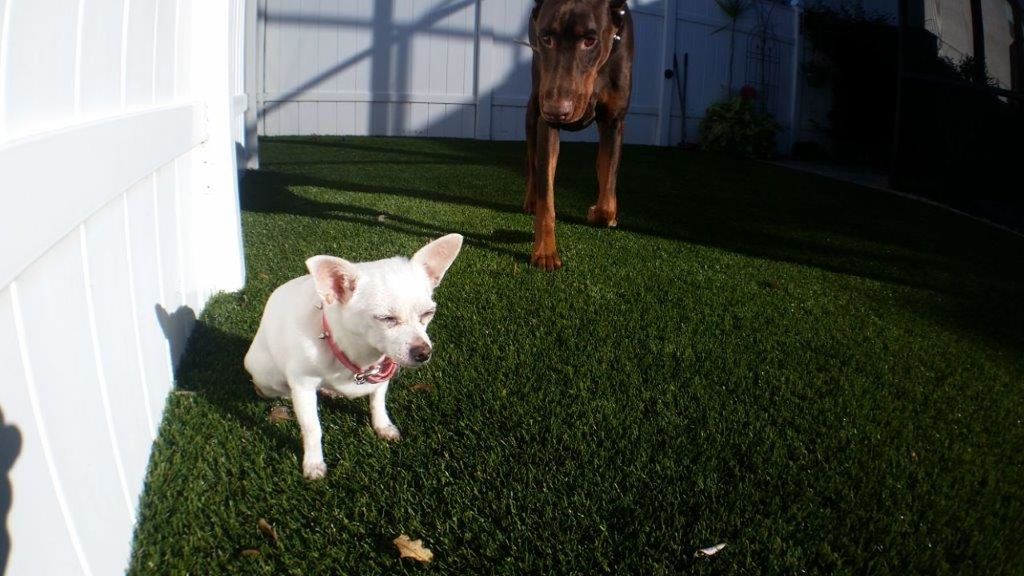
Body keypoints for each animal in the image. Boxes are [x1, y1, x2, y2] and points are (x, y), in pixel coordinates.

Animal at [243, 230, 460, 477]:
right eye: (386, 319)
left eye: (428, 314)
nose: (423, 352)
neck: (360, 354)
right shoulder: (303, 385)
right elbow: (312, 428)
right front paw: (314, 463)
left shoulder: (382, 373)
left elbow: (377, 401)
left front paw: (382, 425)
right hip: (265, 374)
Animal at [528, 0, 630, 268]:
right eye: (546, 38)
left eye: (590, 41)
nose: (556, 111)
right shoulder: (546, 122)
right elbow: (546, 196)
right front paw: (545, 251)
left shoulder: (614, 121)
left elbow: (607, 195)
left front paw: (600, 212)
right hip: (533, 105)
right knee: (531, 161)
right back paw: (530, 200)